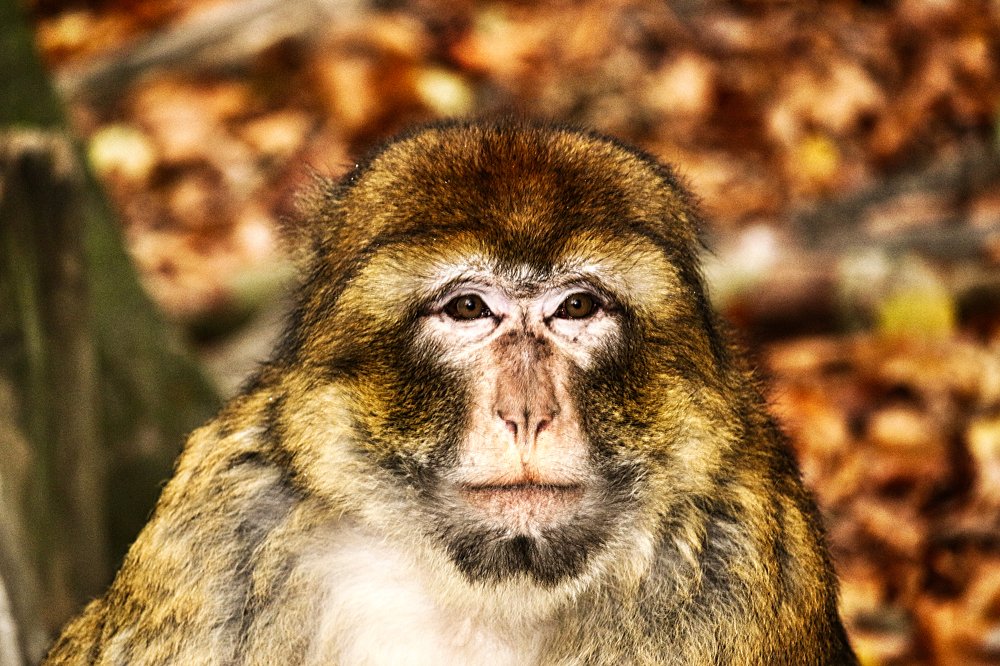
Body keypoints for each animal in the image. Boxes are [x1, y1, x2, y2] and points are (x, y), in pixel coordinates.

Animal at [43, 119, 857, 665]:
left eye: (577, 307)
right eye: (468, 308)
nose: (526, 412)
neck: (489, 591)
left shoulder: (737, 560)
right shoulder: (220, 526)